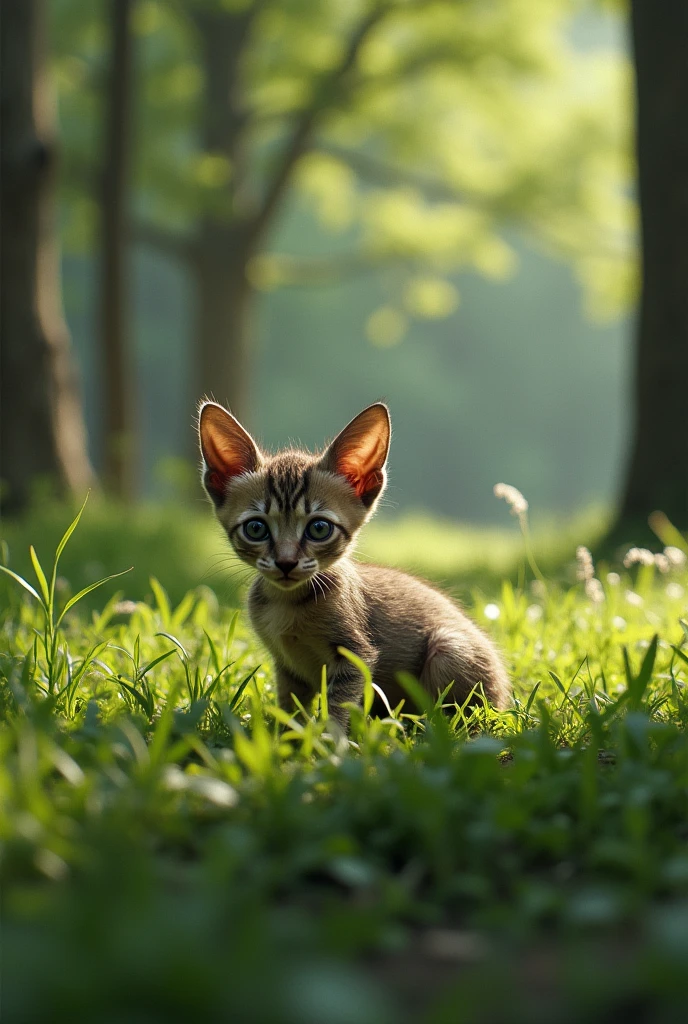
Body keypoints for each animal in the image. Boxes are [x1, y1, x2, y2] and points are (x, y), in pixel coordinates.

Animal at [198, 399, 509, 729]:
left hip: (447, 648)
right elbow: (290, 707)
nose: (285, 562)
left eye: (319, 528)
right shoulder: (287, 667)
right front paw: (285, 735)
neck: (288, 603)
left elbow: (338, 707)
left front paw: (327, 739)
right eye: (256, 528)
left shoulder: (355, 656)